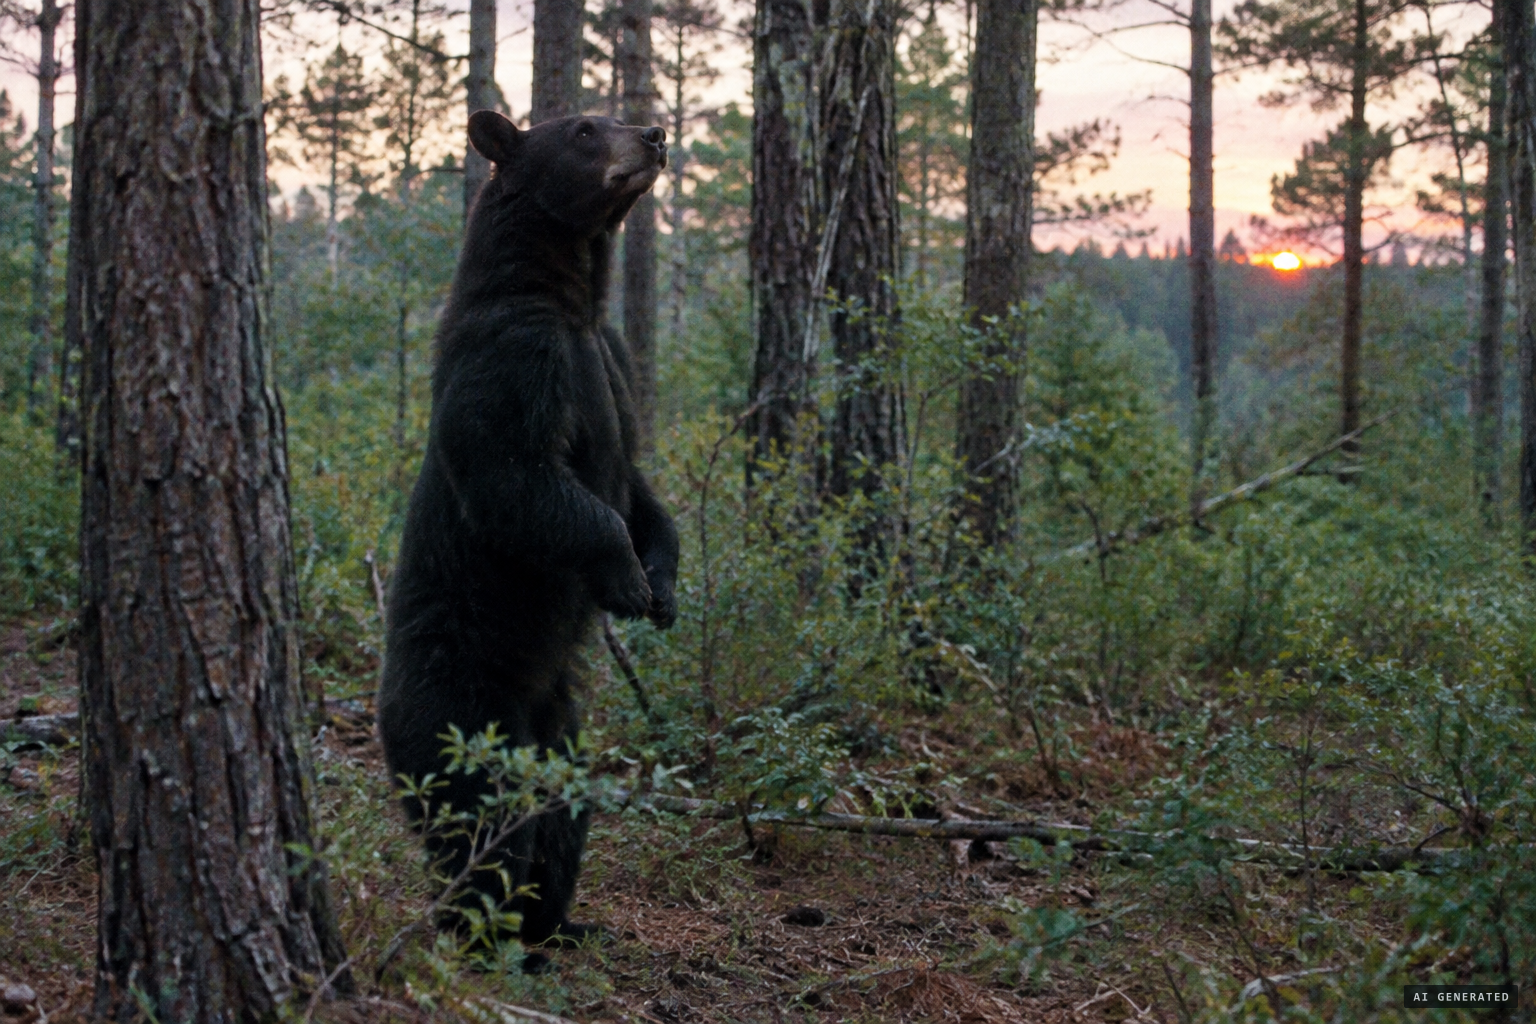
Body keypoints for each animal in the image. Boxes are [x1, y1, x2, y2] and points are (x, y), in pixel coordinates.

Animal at [378, 110, 679, 965]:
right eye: (584, 127)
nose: (655, 132)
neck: (570, 299)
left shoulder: (610, 361)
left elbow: (639, 486)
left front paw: (664, 586)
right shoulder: (517, 363)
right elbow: (518, 479)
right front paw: (623, 576)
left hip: (561, 731)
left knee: (562, 821)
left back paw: (562, 922)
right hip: (462, 709)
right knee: (485, 823)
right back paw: (489, 936)